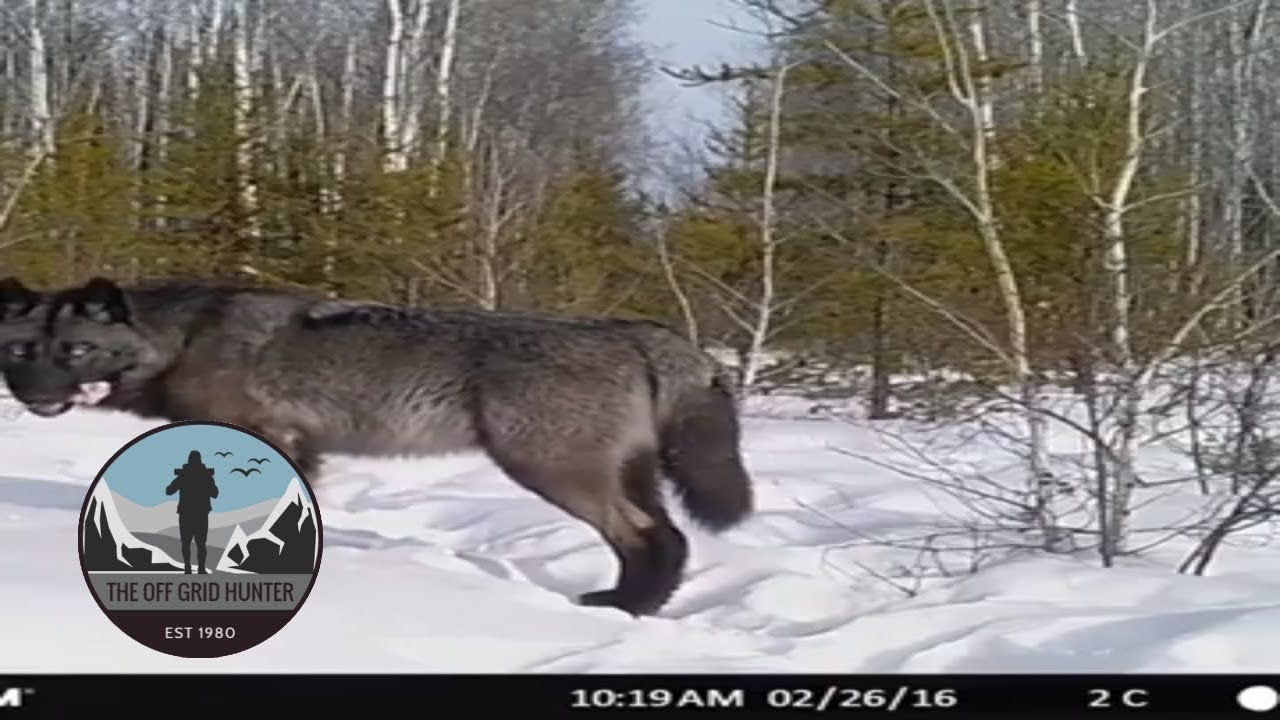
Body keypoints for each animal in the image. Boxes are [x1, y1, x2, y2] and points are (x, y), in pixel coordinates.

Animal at [0, 275, 754, 616]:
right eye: (21, 351)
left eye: (76, 351)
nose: (29, 393)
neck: (182, 339)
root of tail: (638, 330)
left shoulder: (271, 441)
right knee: (668, 539)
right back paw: (632, 604)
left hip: (552, 474)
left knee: (648, 537)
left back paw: (623, 609)